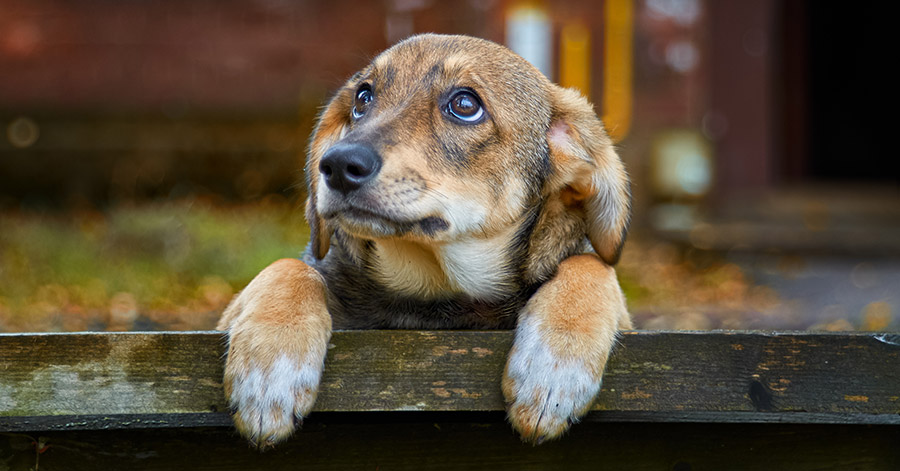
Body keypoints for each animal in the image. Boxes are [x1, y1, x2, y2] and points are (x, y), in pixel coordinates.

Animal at [218, 34, 632, 450]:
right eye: (363, 98)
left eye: (465, 105)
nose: (336, 165)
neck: (434, 291)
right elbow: (289, 267)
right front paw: (268, 371)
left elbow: (591, 264)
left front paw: (555, 369)